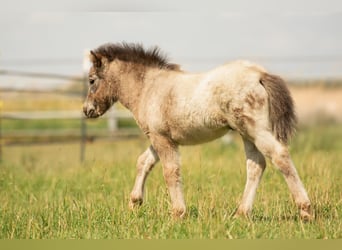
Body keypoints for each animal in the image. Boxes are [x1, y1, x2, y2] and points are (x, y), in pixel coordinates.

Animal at [83, 43, 312, 221]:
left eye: (92, 80)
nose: (87, 110)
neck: (149, 87)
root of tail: (259, 74)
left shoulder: (162, 139)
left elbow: (170, 171)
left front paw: (178, 213)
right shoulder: (159, 138)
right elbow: (143, 162)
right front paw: (134, 203)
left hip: (256, 129)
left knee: (279, 156)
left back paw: (305, 210)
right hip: (246, 133)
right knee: (256, 165)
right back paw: (241, 213)